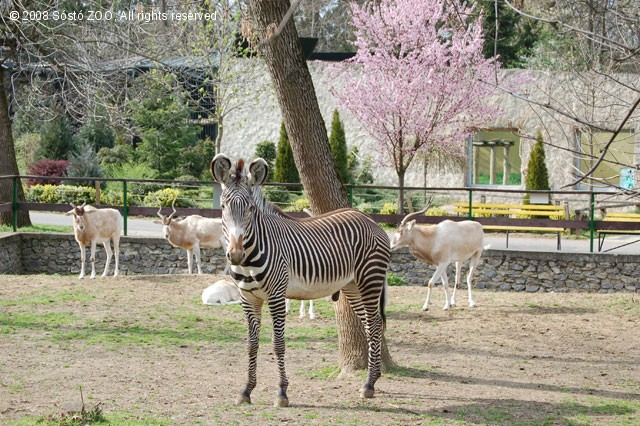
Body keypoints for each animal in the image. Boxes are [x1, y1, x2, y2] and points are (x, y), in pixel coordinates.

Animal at [211, 153, 391, 407]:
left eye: (251, 208)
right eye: (223, 207)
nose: (235, 254)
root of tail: (368, 217)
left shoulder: (276, 296)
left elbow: (278, 344)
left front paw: (282, 393)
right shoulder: (248, 299)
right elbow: (251, 345)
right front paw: (246, 390)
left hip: (370, 280)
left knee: (374, 326)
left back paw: (368, 385)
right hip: (352, 286)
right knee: (370, 324)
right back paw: (372, 380)